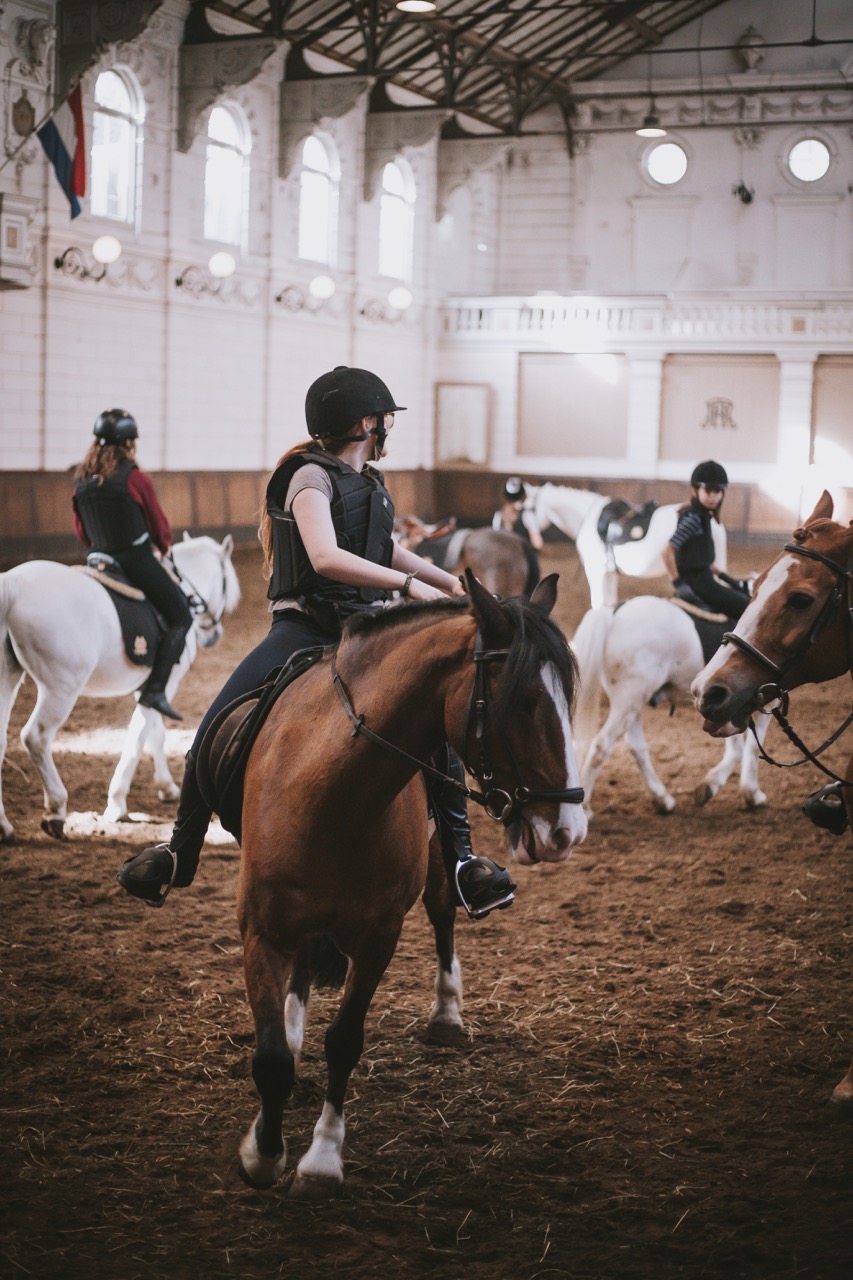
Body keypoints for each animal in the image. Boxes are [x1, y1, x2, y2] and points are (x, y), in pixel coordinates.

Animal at [0, 535, 239, 844]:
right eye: (225, 584)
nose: (213, 636)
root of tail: (14, 584)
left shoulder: (151, 687)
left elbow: (155, 732)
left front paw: (166, 788)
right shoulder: (166, 682)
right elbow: (139, 733)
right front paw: (117, 803)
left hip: (8, 675)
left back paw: (4, 827)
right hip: (62, 688)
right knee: (36, 737)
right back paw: (56, 810)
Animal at [235, 576, 589, 1192]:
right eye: (521, 701)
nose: (566, 830)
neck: (331, 794)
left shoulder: (379, 937)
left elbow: (345, 1042)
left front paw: (321, 1158)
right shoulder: (263, 931)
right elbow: (272, 1057)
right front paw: (262, 1151)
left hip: (437, 859)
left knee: (443, 911)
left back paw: (446, 1014)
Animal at [525, 483, 722, 614]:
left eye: (529, 508)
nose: (534, 541)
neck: (589, 517)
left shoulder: (595, 571)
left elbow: (597, 604)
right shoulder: (609, 572)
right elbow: (608, 603)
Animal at [568, 593, 768, 814]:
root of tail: (613, 612)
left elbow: (737, 749)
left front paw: (711, 786)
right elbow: (752, 748)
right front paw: (752, 794)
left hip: (630, 702)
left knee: (636, 747)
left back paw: (662, 799)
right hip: (630, 699)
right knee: (601, 746)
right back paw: (586, 808)